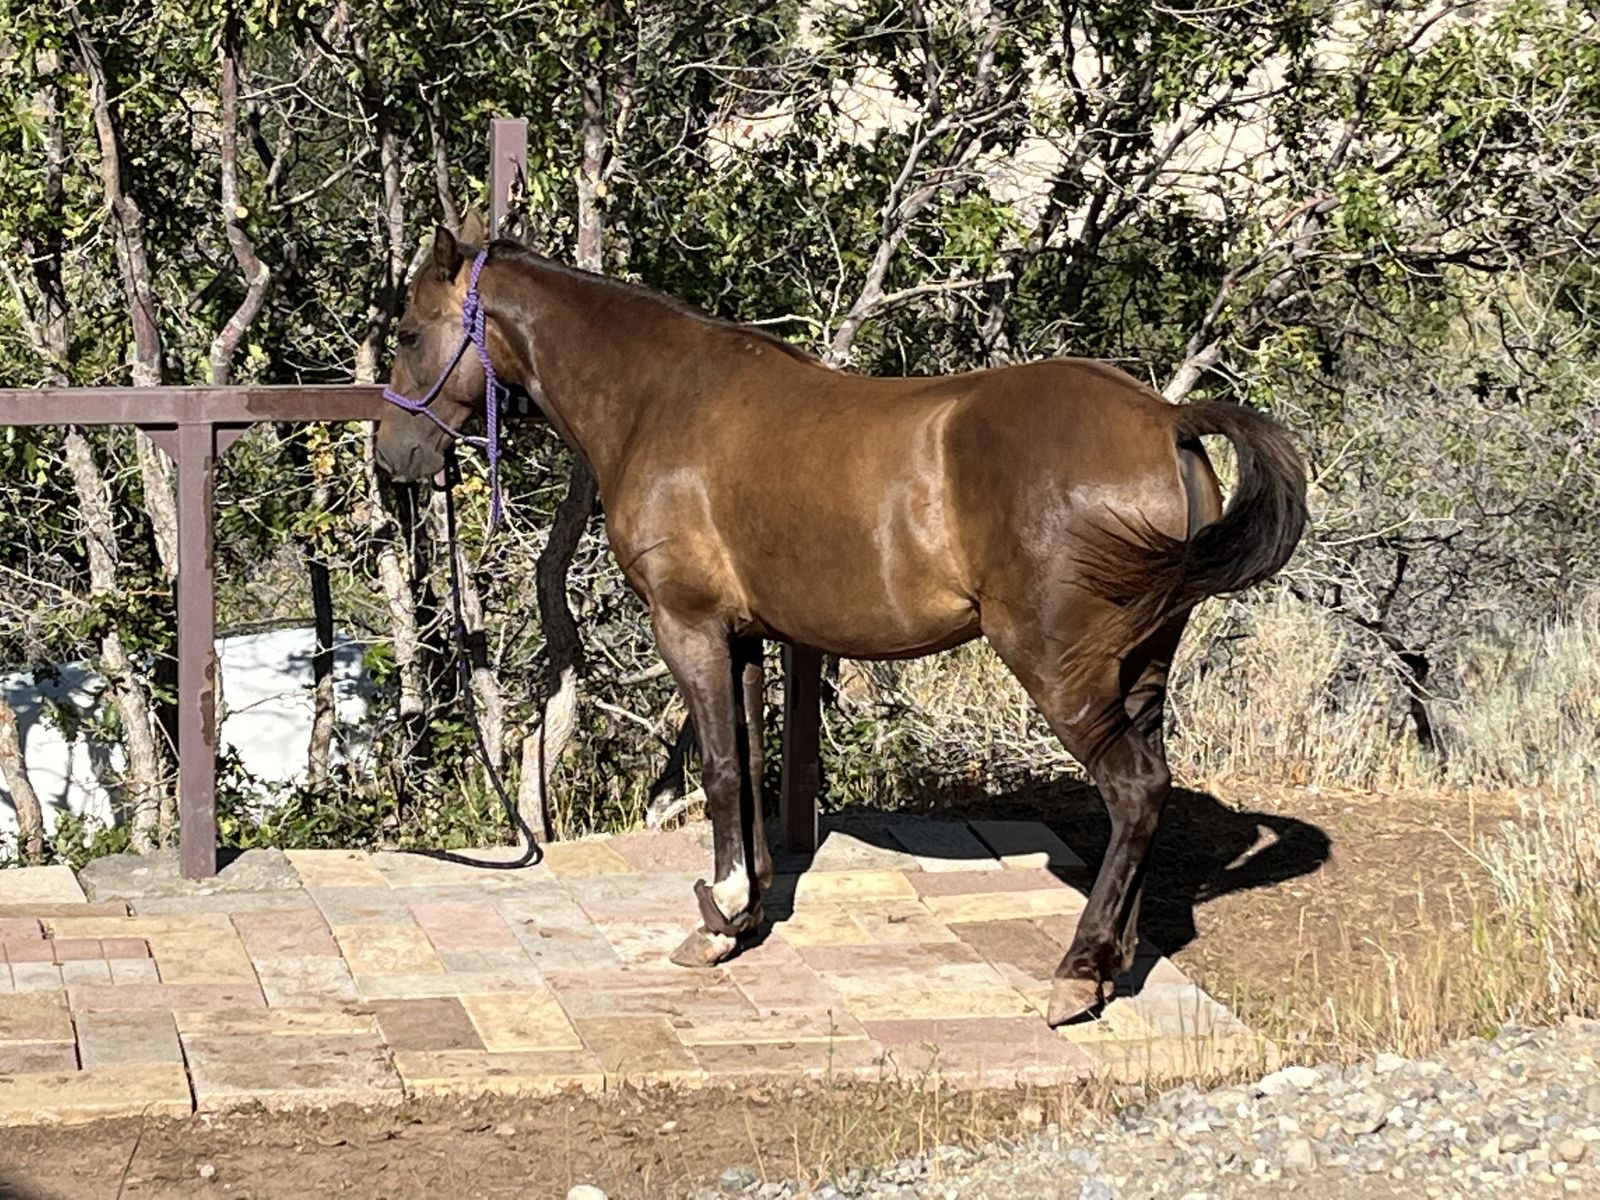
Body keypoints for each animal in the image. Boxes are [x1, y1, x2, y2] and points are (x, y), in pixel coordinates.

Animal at [374, 224, 1307, 1026]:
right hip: (1141, 666)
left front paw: (719, 921)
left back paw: (1075, 974)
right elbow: (748, 765)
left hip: (1060, 666)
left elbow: (719, 769)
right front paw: (746, 910)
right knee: (1148, 791)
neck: (661, 399)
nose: (395, 458)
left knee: (1134, 788)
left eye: (411, 332)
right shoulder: (743, 634)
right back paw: (1113, 959)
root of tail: (1163, 417)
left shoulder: (690, 628)